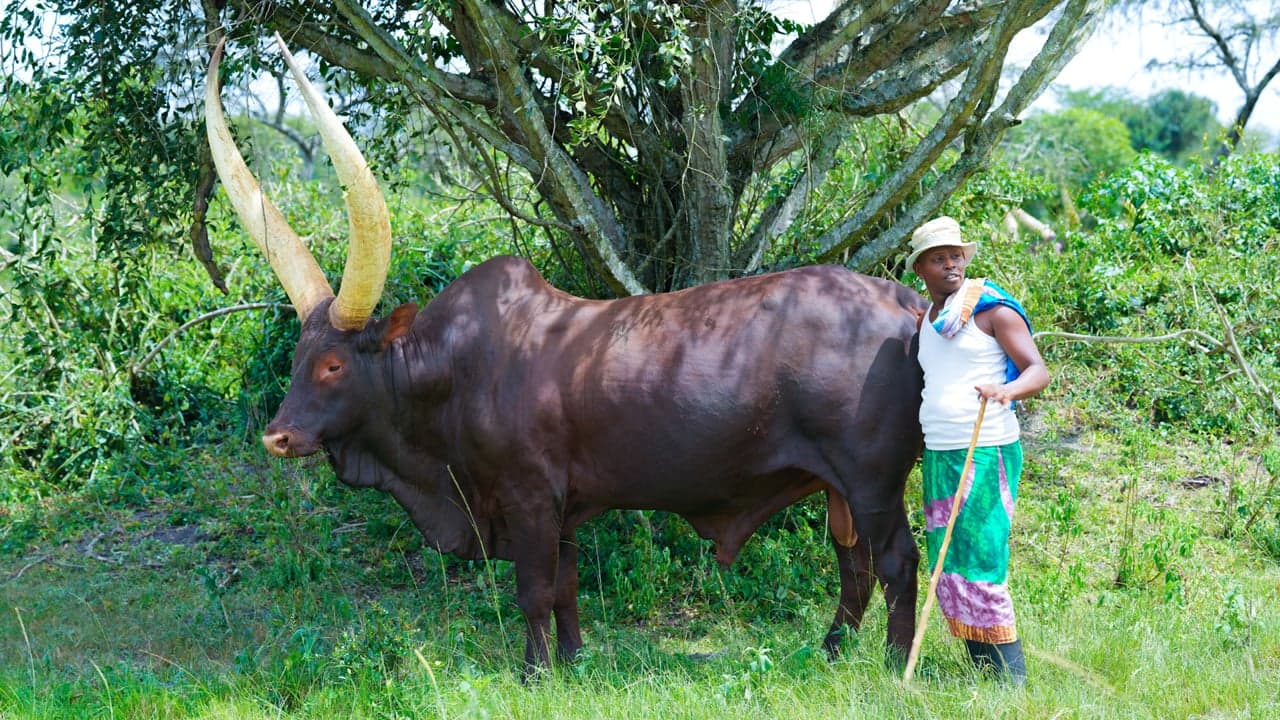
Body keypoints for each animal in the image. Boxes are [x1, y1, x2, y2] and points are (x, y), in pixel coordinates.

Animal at [205, 35, 927, 674]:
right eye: (298, 359)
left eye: (333, 366)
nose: (278, 436)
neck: (451, 374)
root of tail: (904, 303)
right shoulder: (565, 507)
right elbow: (567, 588)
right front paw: (574, 661)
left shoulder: (527, 497)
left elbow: (534, 592)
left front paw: (535, 672)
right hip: (839, 488)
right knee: (854, 565)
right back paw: (832, 654)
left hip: (873, 481)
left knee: (896, 562)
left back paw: (895, 665)